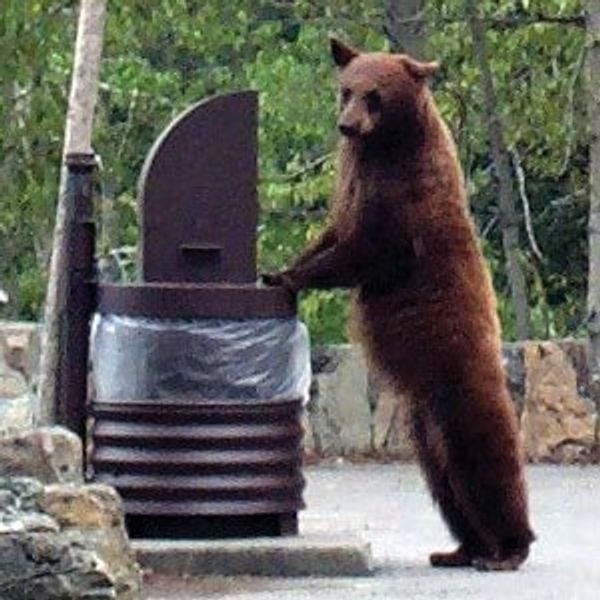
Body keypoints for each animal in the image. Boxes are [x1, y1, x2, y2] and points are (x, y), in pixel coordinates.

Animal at [264, 38, 534, 571]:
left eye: (374, 95)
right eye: (346, 89)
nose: (346, 125)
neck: (384, 145)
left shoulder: (403, 198)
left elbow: (364, 250)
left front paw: (288, 276)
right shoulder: (353, 180)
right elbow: (332, 232)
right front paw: (279, 266)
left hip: (460, 381)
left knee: (487, 458)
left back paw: (508, 548)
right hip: (422, 427)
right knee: (444, 483)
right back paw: (459, 548)